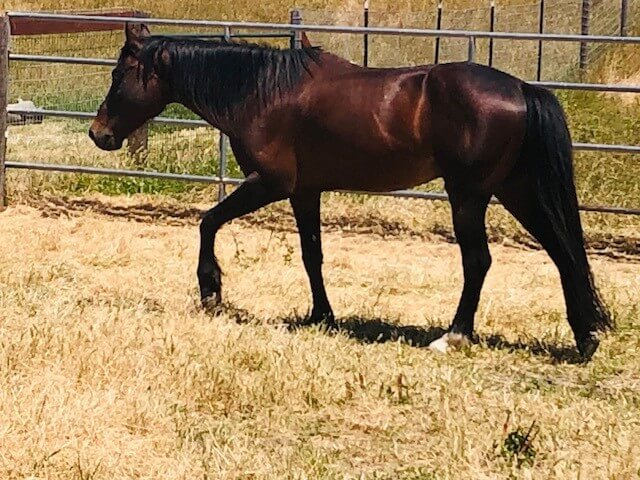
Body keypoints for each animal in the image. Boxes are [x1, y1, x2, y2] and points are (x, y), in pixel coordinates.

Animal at [87, 23, 612, 360]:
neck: (262, 92)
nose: (98, 134)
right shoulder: (304, 192)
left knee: (479, 262)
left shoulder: (270, 184)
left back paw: (454, 336)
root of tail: (523, 87)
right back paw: (585, 337)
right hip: (514, 190)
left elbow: (208, 221)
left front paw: (211, 290)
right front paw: (322, 315)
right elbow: (311, 255)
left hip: (470, 196)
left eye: (118, 76)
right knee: (563, 252)